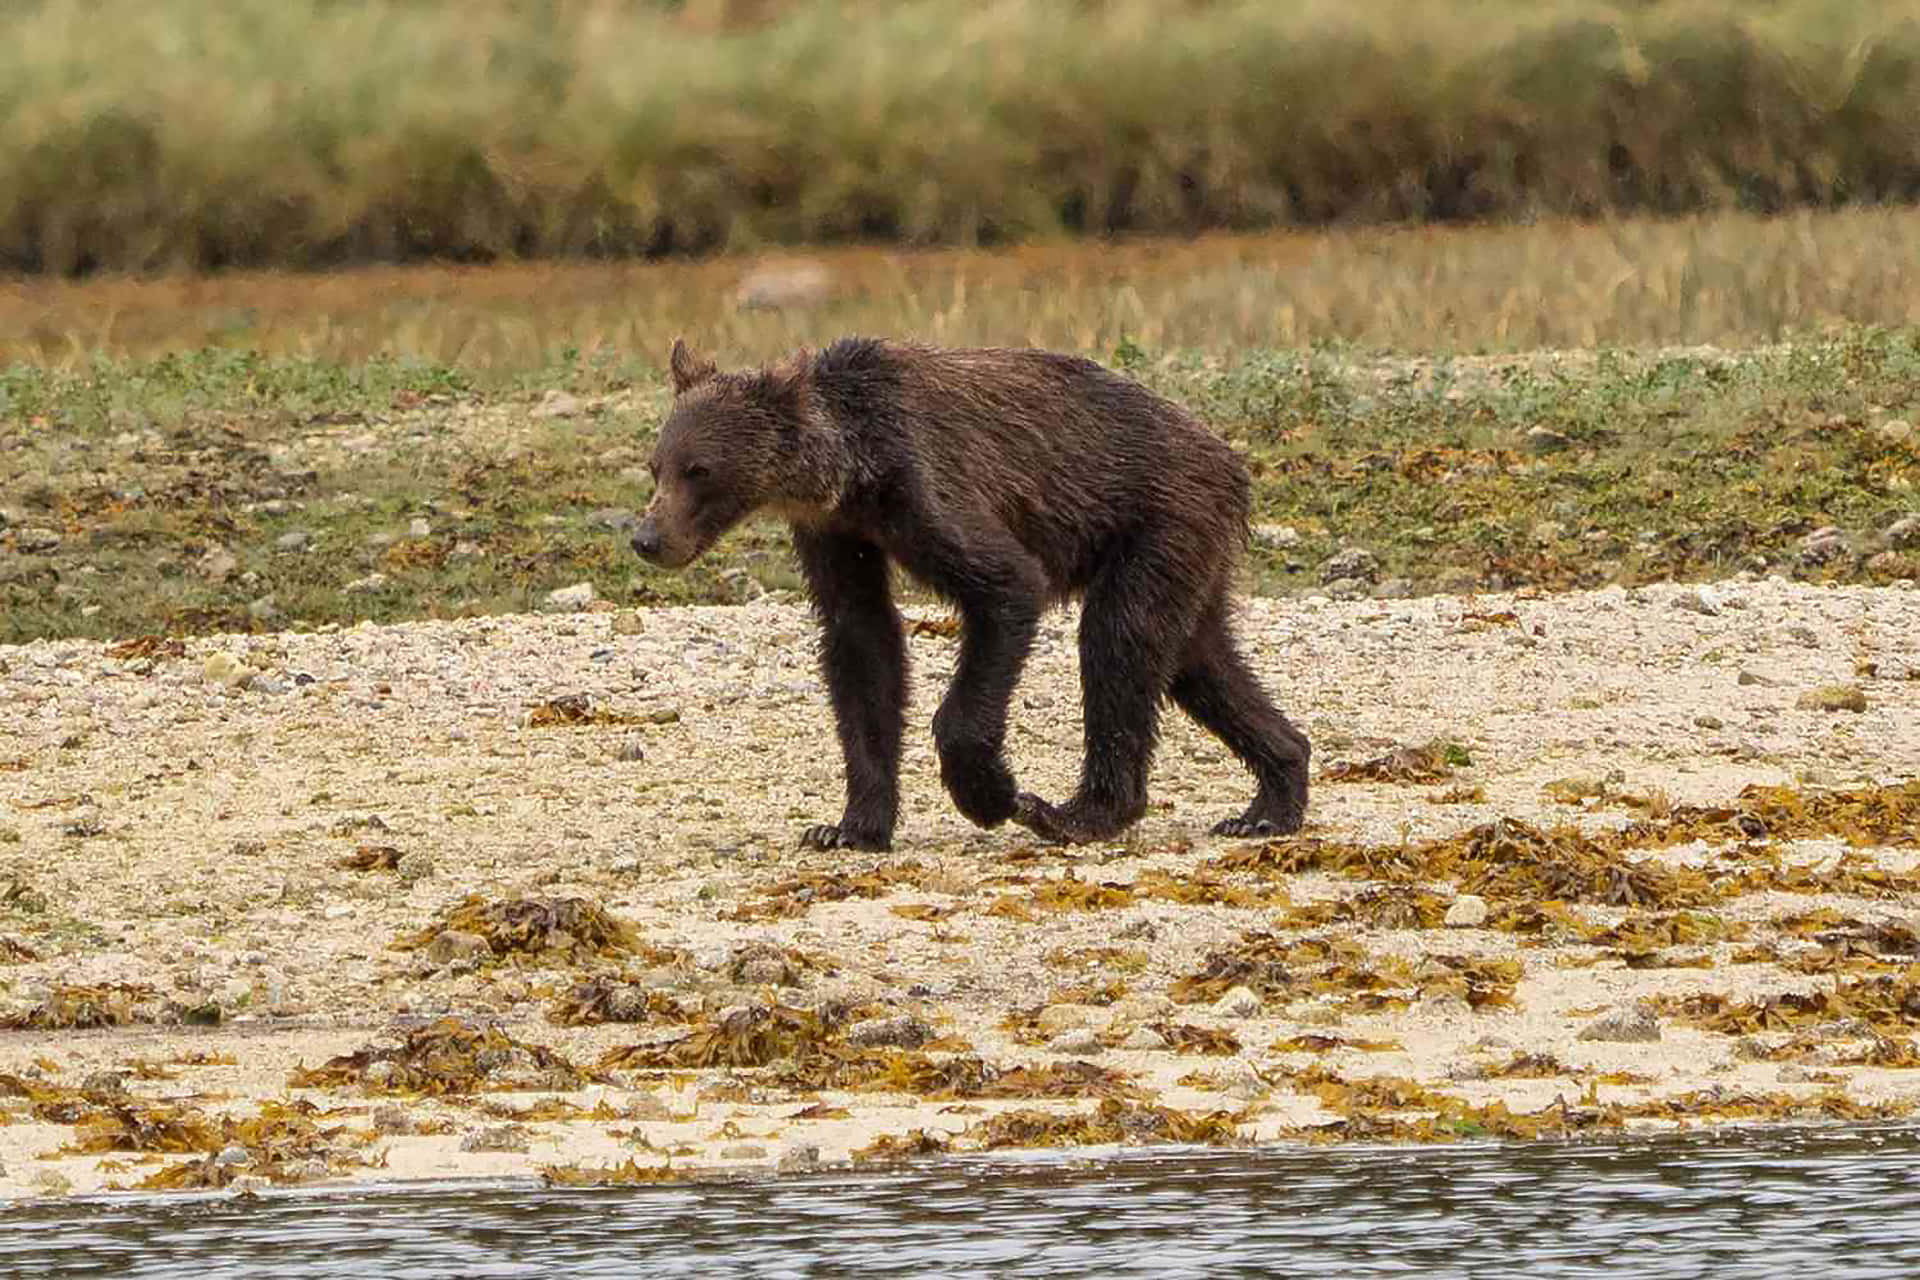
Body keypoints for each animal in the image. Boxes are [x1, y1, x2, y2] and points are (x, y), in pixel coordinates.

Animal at [630, 336, 1312, 851]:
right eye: (656, 466)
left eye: (699, 470)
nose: (647, 537)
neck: (851, 469)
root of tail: (1229, 458)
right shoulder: (837, 532)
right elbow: (862, 644)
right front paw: (849, 826)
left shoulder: (926, 485)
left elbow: (1006, 588)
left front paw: (990, 793)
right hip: (1188, 550)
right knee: (1197, 659)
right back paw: (1270, 798)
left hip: (1158, 517)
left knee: (1120, 640)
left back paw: (1075, 812)